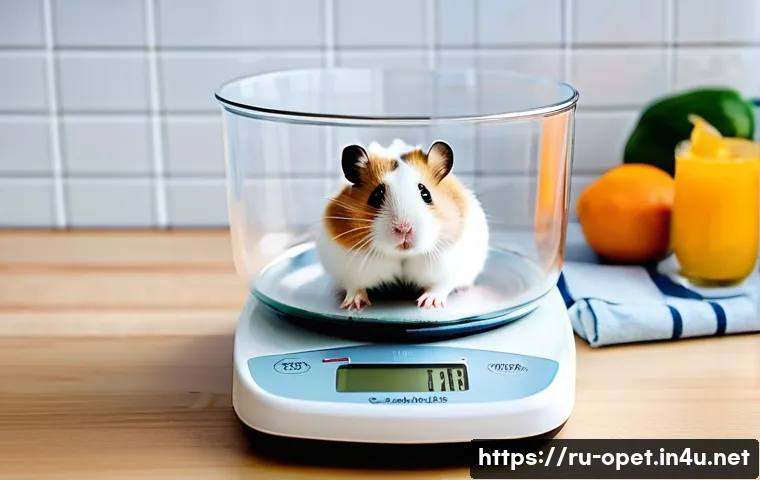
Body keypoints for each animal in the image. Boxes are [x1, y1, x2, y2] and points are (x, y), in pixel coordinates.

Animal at [316, 139, 489, 311]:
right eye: (376, 196)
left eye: (426, 194)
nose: (404, 229)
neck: (403, 254)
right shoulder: (348, 267)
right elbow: (354, 285)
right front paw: (353, 305)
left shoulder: (448, 267)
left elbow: (440, 286)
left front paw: (428, 303)